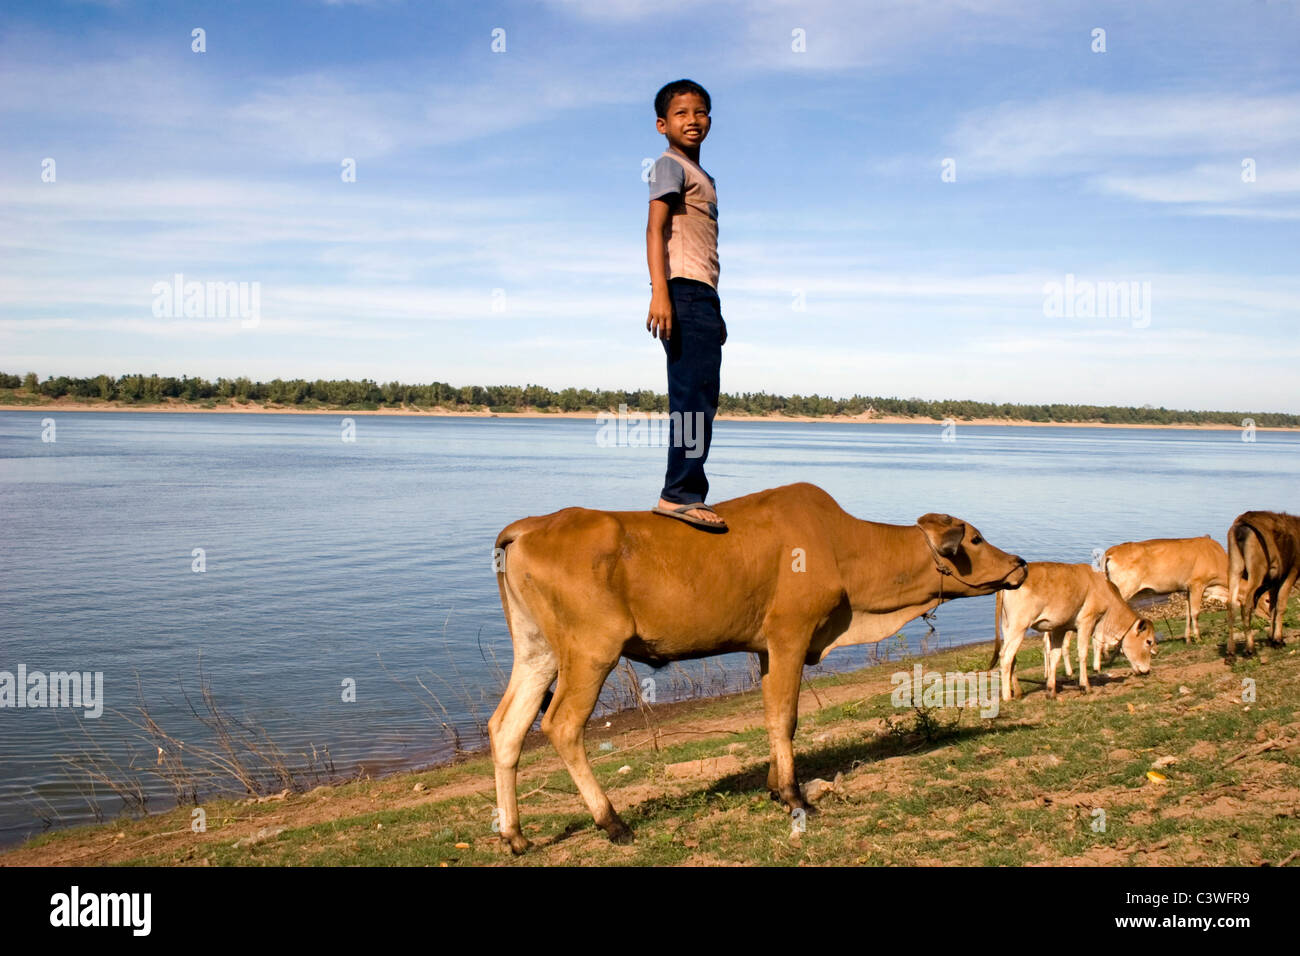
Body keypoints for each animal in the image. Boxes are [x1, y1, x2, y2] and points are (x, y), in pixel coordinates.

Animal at [488, 481, 1024, 858]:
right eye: (976, 538)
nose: (1019, 561)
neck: (844, 548)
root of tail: (528, 526)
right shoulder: (791, 635)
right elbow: (785, 716)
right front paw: (794, 797)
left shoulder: (768, 648)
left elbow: (774, 717)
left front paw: (773, 787)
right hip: (592, 650)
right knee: (561, 725)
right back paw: (612, 823)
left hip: (538, 652)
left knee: (506, 727)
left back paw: (515, 836)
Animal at [982, 561, 1159, 702]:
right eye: (1148, 641)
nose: (1147, 670)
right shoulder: (1086, 621)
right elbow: (1082, 653)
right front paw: (1085, 686)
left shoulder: (1059, 628)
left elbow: (1055, 657)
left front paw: (1051, 691)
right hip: (1019, 627)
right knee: (1006, 656)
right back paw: (1007, 696)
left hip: (1008, 627)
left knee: (1013, 657)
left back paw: (1017, 692)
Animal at [1222, 512, 1294, 660]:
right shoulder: (1292, 571)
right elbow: (1281, 605)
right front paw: (1278, 640)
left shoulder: (1276, 580)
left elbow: (1272, 606)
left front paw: (1271, 638)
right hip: (1256, 571)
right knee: (1246, 605)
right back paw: (1250, 649)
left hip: (1234, 567)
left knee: (1231, 604)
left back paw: (1231, 653)